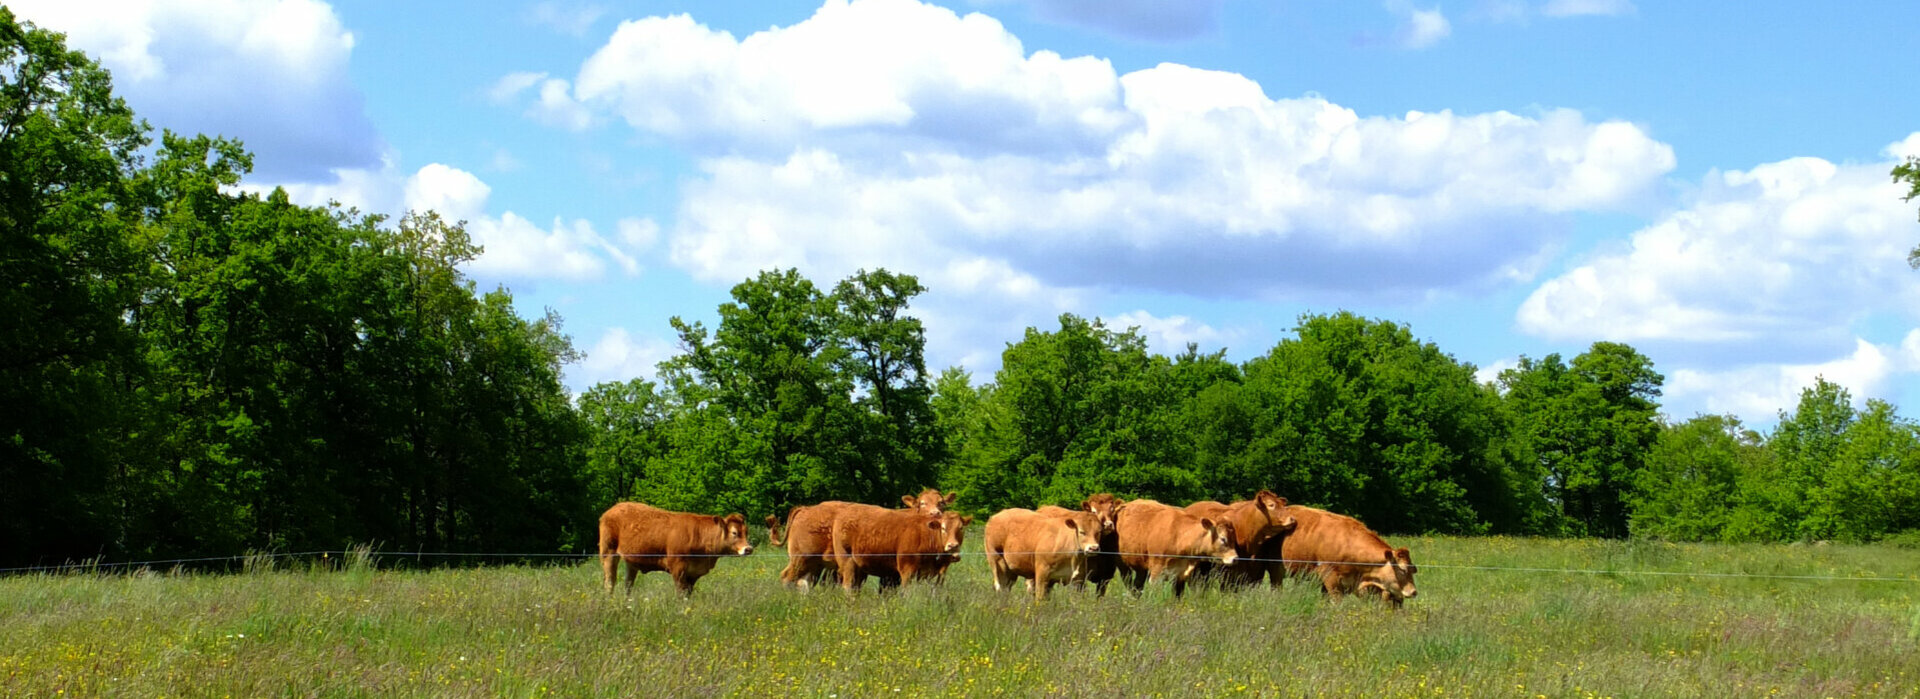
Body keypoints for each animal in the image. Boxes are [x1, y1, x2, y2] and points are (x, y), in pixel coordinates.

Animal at [595, 503, 752, 595]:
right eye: (734, 533)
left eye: (746, 531)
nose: (748, 549)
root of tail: (614, 508)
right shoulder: (678, 568)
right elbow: (681, 595)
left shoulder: (693, 574)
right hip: (608, 552)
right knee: (609, 583)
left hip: (631, 560)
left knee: (628, 584)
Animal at [829, 506, 967, 591]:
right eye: (943, 528)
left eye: (961, 528)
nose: (952, 546)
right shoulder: (907, 570)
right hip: (847, 562)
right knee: (848, 587)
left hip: (859, 569)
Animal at [1113, 499, 1244, 599]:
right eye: (1223, 539)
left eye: (1234, 538)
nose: (1235, 558)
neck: (1180, 535)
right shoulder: (1156, 573)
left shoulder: (1180, 576)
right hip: (1122, 565)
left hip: (1141, 568)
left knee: (1137, 586)